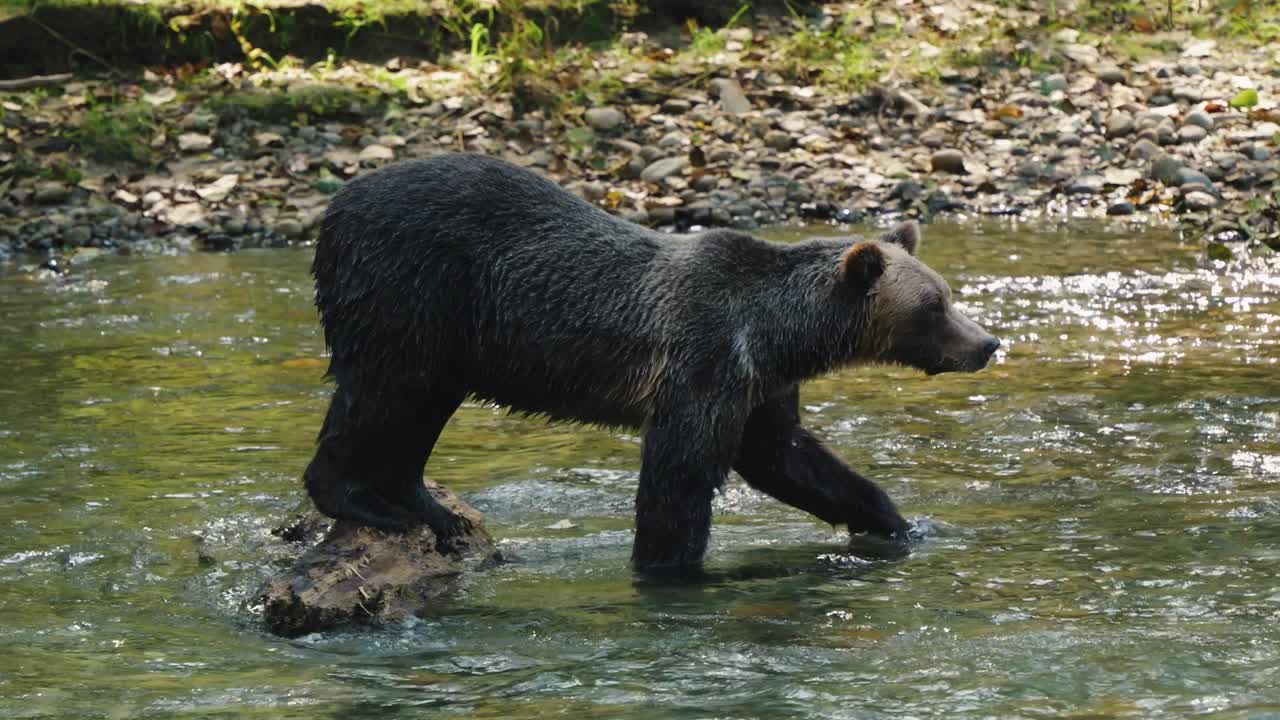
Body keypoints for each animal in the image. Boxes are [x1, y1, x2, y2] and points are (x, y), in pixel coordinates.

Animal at [303, 153, 999, 575]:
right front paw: (668, 568)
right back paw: (366, 501)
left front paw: (896, 521)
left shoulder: (758, 382)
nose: (987, 343)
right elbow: (680, 475)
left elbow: (789, 458)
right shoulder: (704, 357)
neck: (779, 330)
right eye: (935, 305)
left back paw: (431, 511)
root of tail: (334, 209)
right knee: (387, 390)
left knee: (412, 408)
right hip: (412, 290)